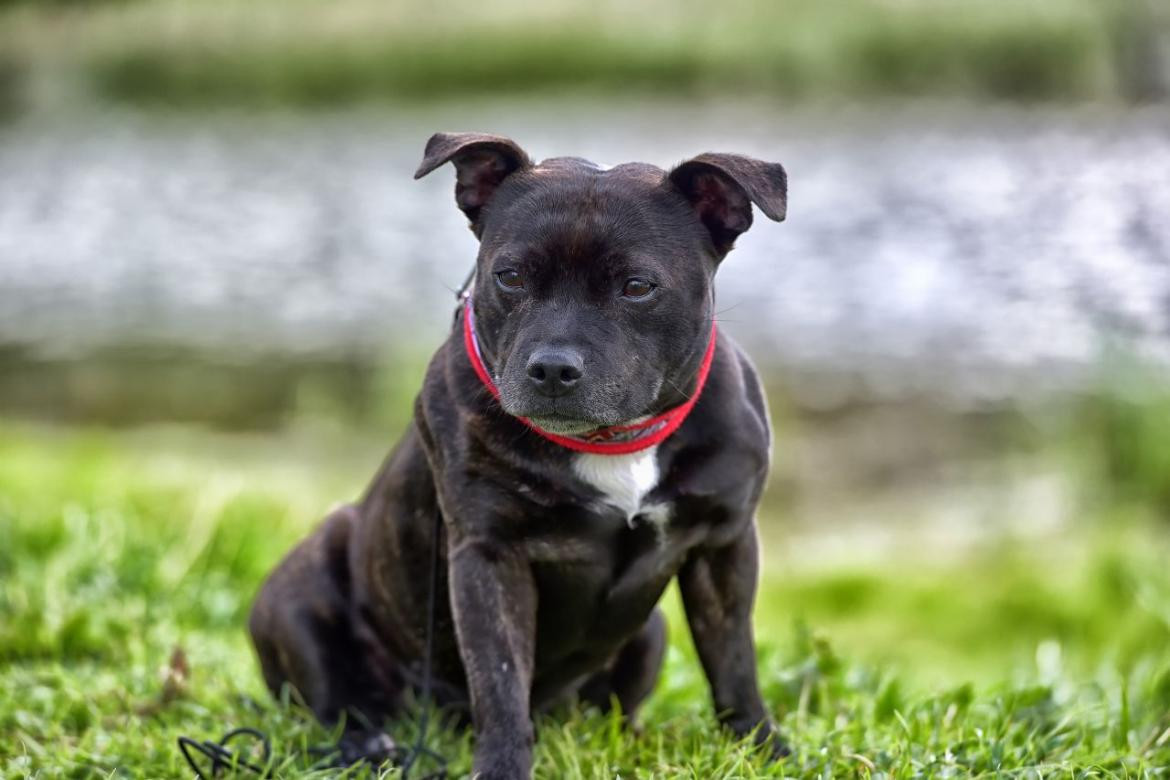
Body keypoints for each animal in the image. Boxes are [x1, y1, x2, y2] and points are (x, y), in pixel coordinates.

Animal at [250, 130, 790, 776]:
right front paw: (503, 766)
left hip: (651, 632)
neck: (612, 441)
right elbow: (501, 682)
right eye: (509, 277)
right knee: (337, 697)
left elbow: (733, 659)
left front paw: (760, 745)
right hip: (299, 593)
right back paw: (366, 744)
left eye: (637, 286)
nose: (553, 366)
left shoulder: (723, 543)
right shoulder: (490, 556)